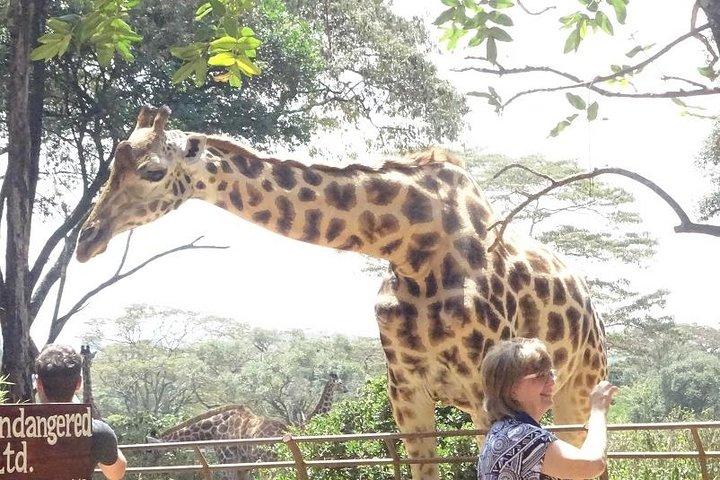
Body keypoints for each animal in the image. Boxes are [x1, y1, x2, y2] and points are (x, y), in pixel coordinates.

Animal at [148, 372, 346, 480]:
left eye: (149, 451)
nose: (151, 468)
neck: (213, 429)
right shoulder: (243, 467)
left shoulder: (228, 464)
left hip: (272, 463)